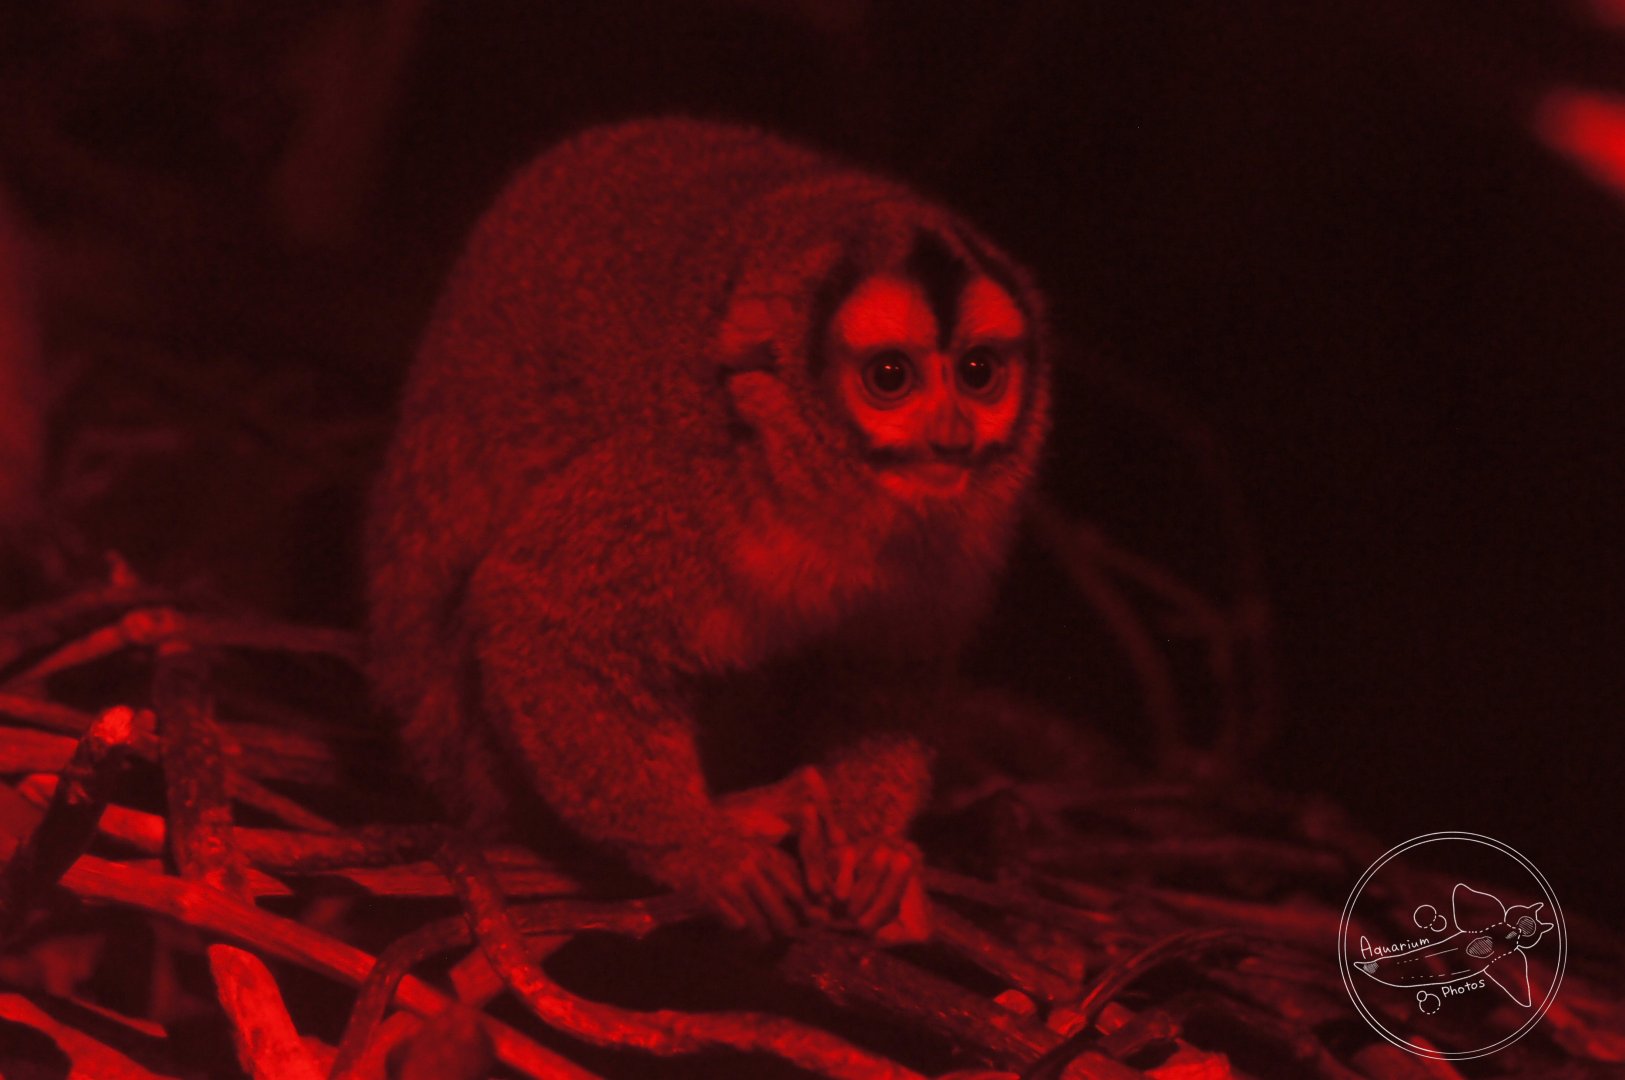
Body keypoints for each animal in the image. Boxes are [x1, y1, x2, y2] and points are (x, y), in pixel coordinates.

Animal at [365, 117, 1052, 939]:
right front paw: (704, 850)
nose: (951, 438)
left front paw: (868, 846)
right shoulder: (682, 490)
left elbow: (888, 667)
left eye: (979, 372)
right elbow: (533, 612)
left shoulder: (962, 543)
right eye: (891, 378)